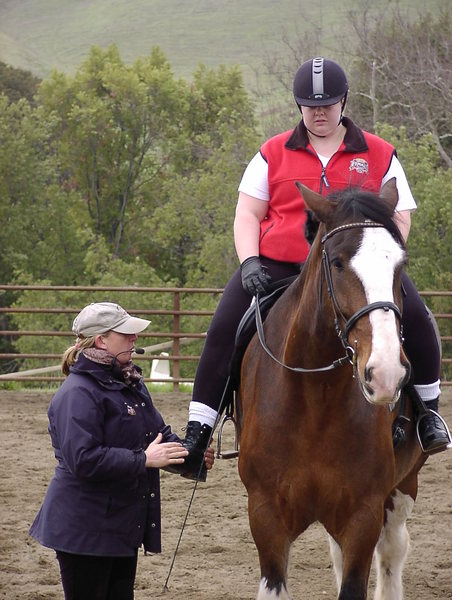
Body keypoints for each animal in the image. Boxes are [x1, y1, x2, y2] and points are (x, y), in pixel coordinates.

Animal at [237, 179, 427, 600]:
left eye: (400, 265)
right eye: (338, 263)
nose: (386, 373)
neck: (316, 397)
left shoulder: (363, 514)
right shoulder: (266, 514)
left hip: (403, 485)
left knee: (393, 550)